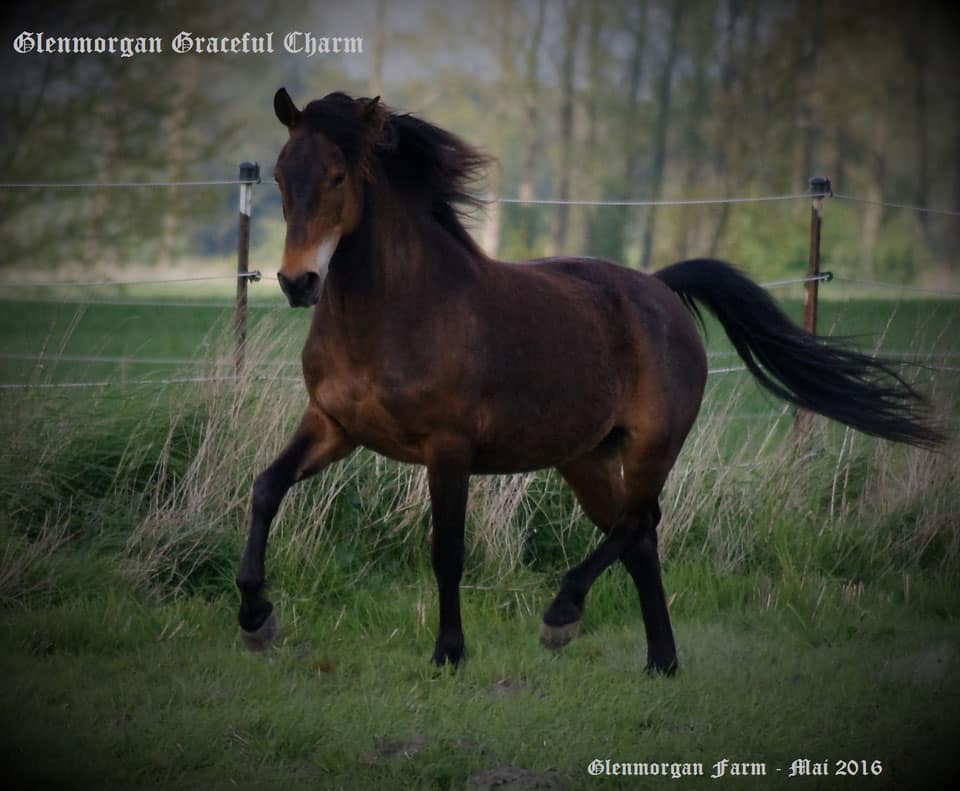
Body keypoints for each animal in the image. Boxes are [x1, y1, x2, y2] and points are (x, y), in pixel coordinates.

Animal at [234, 88, 944, 676]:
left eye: (337, 175)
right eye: (280, 176)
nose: (297, 282)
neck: (397, 310)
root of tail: (658, 287)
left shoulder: (448, 449)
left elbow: (447, 550)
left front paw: (449, 653)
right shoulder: (334, 426)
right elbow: (266, 489)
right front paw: (255, 620)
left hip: (652, 444)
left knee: (637, 523)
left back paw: (562, 617)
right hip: (586, 459)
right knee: (639, 536)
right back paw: (660, 660)